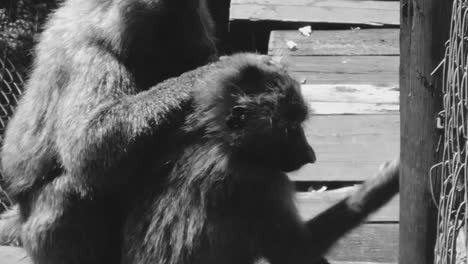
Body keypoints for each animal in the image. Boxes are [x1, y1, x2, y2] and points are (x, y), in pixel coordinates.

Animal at [120, 53, 398, 264]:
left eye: (299, 124)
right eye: (291, 128)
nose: (311, 155)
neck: (220, 142)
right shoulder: (258, 183)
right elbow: (296, 255)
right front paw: (382, 184)